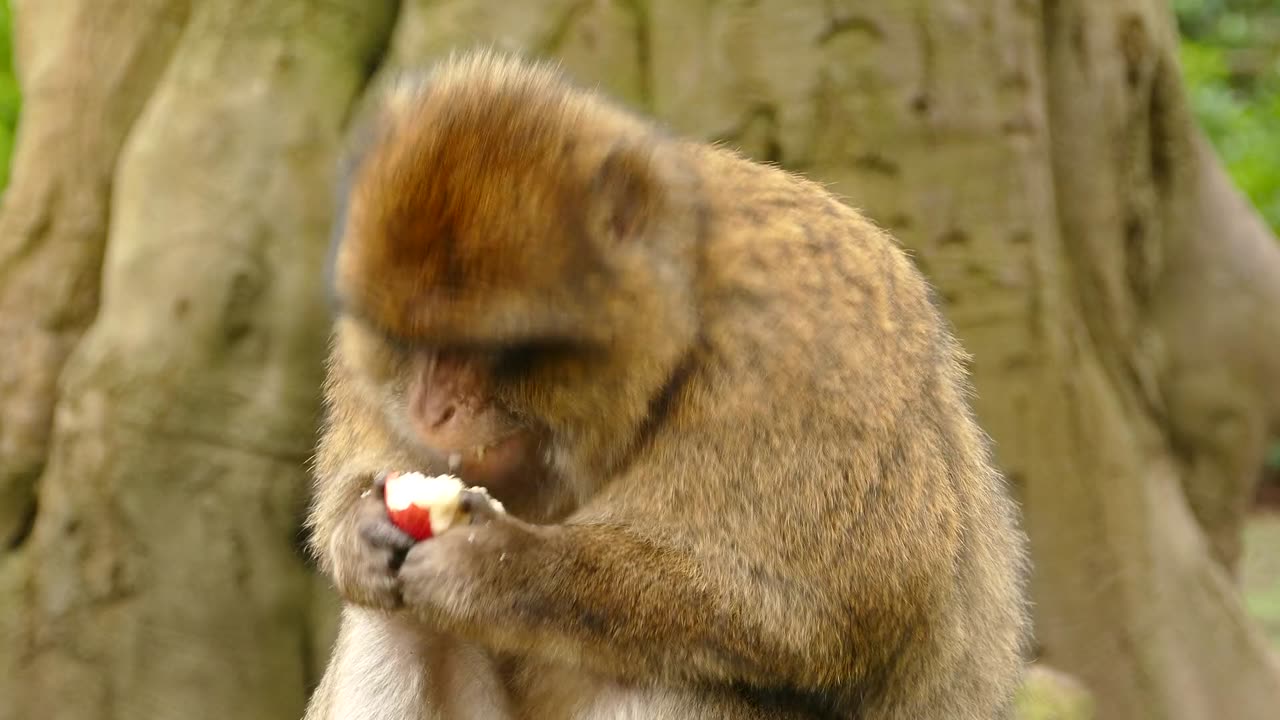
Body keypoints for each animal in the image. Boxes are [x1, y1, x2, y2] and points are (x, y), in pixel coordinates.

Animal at [304, 51, 1034, 717]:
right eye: (406, 343)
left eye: (493, 350)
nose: (431, 409)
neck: (683, 316)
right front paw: (360, 533)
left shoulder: (802, 349)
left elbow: (828, 606)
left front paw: (500, 568)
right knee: (394, 620)